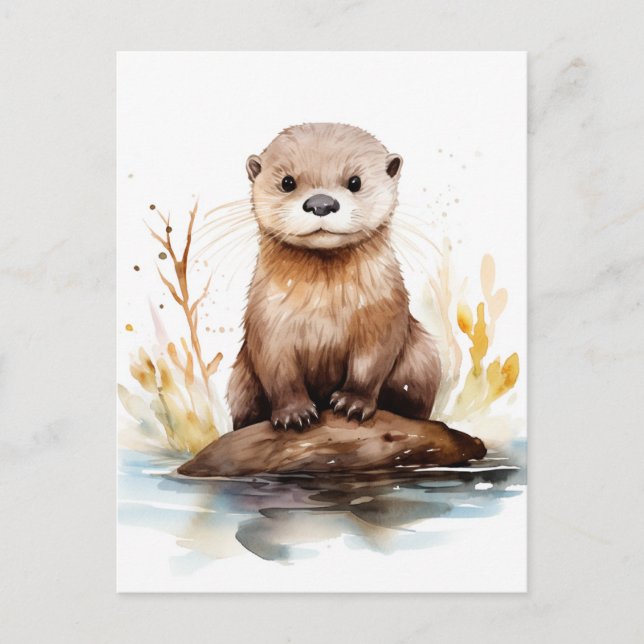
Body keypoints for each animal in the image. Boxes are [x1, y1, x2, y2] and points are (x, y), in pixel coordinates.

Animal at [227, 123, 441, 431]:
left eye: (355, 182)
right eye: (287, 182)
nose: (321, 203)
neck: (325, 311)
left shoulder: (384, 312)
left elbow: (371, 361)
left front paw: (353, 402)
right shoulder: (266, 320)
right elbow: (278, 370)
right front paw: (294, 413)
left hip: (423, 356)